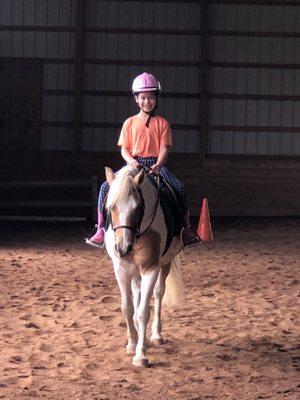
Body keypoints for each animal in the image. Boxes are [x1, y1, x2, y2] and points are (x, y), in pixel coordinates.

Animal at [104, 164, 184, 368]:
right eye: (111, 207)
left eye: (137, 207)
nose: (122, 248)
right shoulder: (121, 269)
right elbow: (127, 307)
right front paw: (132, 343)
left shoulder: (151, 269)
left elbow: (143, 312)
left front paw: (140, 355)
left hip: (165, 264)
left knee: (158, 294)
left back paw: (155, 336)